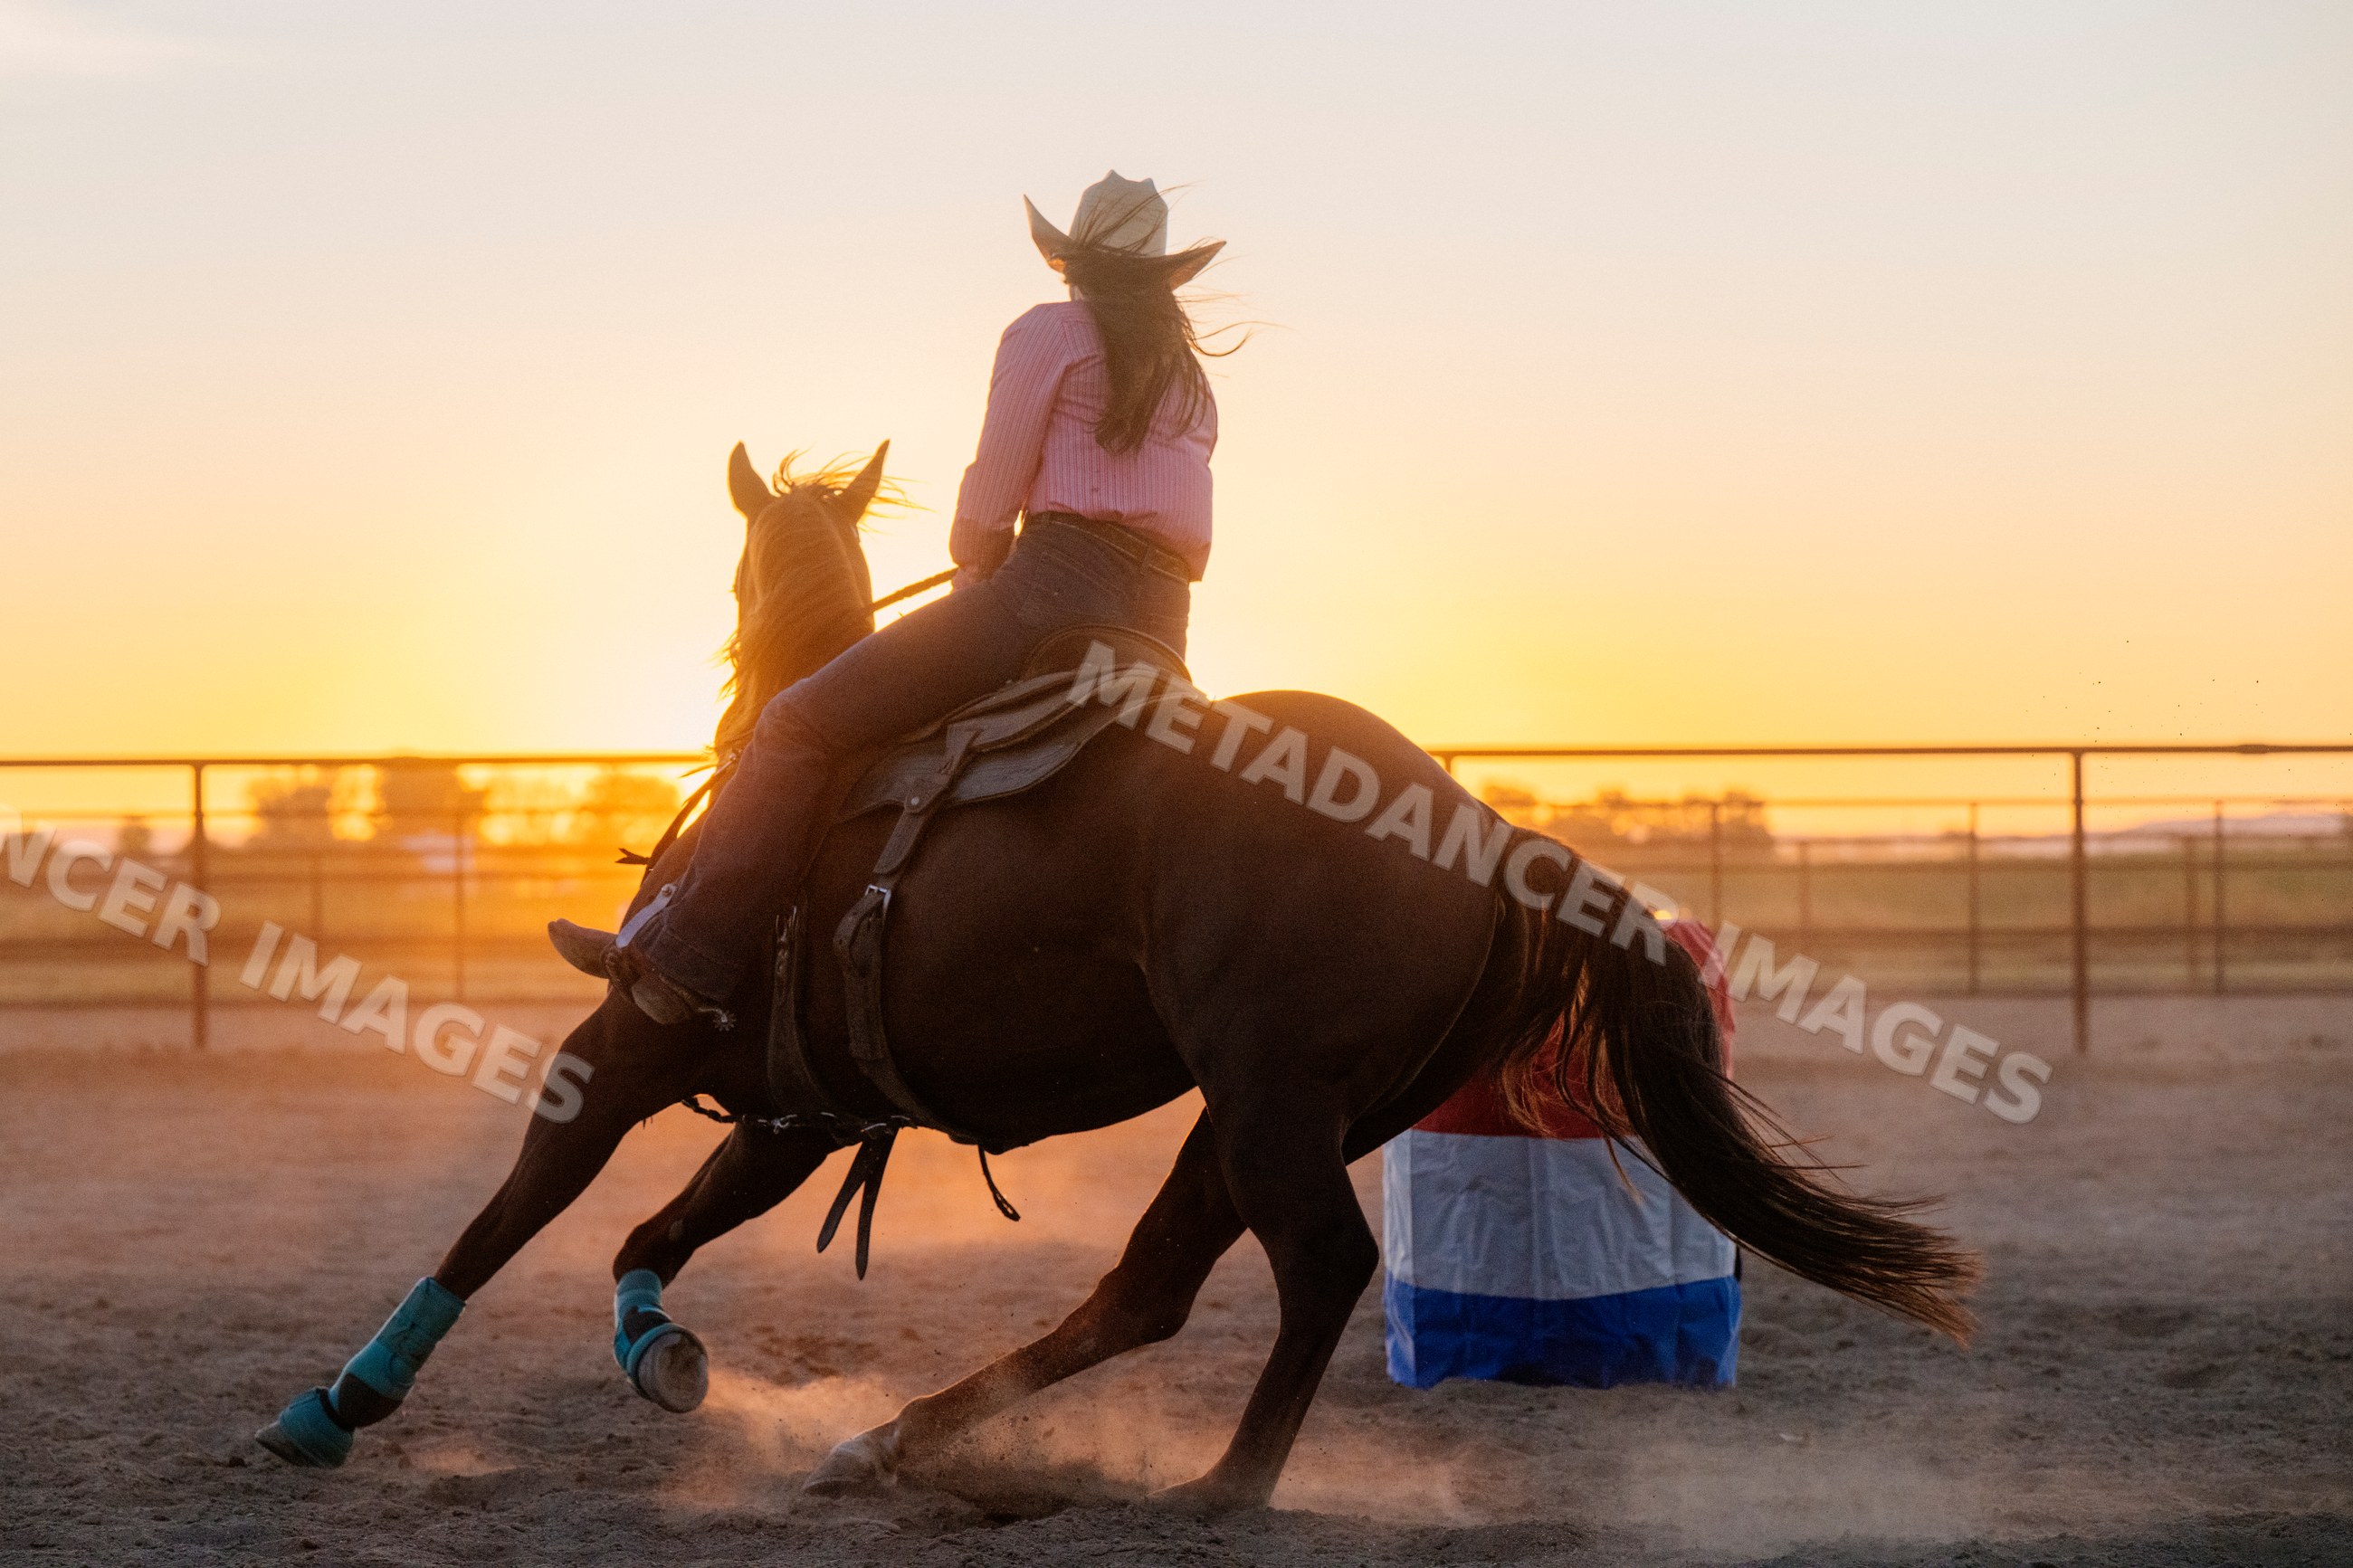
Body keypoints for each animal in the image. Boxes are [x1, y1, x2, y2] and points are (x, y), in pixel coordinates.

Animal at [257, 441, 1978, 1514]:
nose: (729, 662)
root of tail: (1484, 831)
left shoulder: (628, 1034)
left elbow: (520, 1205)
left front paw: (337, 1405)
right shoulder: (804, 1112)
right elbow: (651, 1229)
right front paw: (654, 1349)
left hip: (1274, 1100)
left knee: (1314, 1267)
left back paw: (1227, 1482)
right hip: (1279, 1105)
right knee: (1148, 1283)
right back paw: (890, 1443)